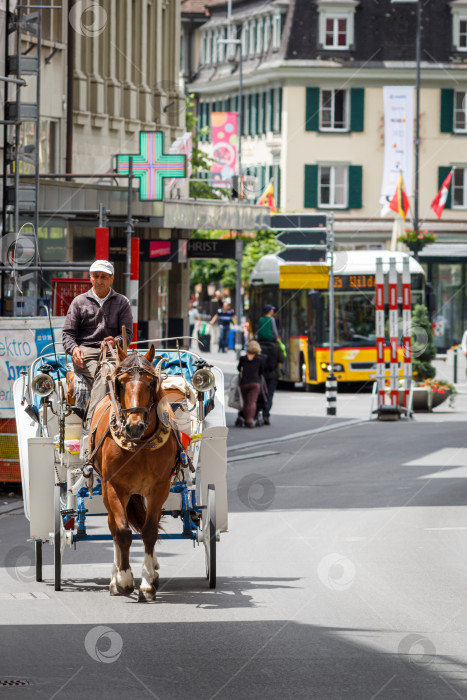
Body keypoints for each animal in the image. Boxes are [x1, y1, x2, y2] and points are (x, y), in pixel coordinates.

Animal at [90, 346, 179, 600]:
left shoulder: (159, 488)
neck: (140, 445)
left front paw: (147, 582)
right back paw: (114, 578)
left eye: (150, 383)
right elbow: (122, 532)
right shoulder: (113, 487)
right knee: (113, 527)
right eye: (120, 383)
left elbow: (149, 531)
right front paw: (124, 579)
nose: (134, 426)